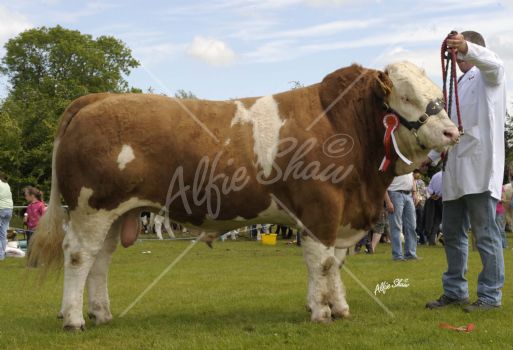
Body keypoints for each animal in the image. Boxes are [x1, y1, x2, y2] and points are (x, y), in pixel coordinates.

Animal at [28, 61, 460, 330]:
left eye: (436, 92)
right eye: (406, 97)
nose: (452, 132)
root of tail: (98, 98)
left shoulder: (343, 215)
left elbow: (336, 264)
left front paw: (338, 308)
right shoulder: (320, 209)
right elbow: (320, 263)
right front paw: (320, 312)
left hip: (118, 212)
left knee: (100, 261)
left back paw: (101, 313)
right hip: (91, 207)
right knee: (79, 256)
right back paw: (74, 319)